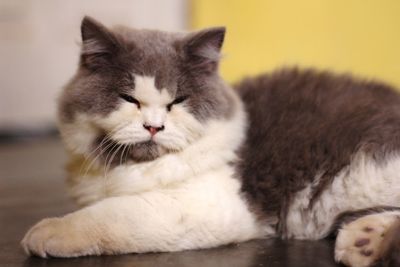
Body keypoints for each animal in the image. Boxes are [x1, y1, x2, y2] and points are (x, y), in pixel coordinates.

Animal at [21, 16, 400, 267]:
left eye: (177, 101)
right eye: (129, 99)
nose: (153, 127)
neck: (133, 169)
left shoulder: (205, 204)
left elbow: (111, 215)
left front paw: (48, 232)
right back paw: (364, 241)